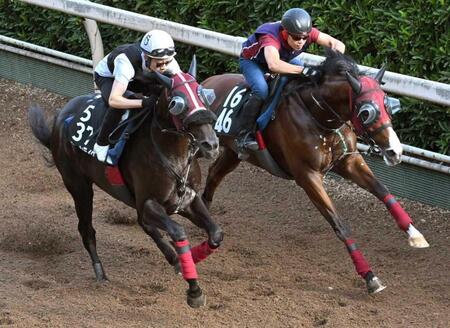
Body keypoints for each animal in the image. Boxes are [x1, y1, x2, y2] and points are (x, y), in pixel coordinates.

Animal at [29, 58, 222, 308]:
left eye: (203, 94)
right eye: (176, 102)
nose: (211, 144)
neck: (171, 154)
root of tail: (61, 118)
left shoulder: (187, 199)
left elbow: (216, 233)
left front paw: (191, 258)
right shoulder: (149, 203)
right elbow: (179, 233)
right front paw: (194, 290)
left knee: (144, 225)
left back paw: (173, 258)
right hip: (79, 187)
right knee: (86, 229)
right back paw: (100, 273)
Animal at [203, 51, 428, 294]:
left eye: (388, 105)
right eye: (366, 112)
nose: (395, 151)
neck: (318, 115)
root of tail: (206, 83)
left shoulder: (348, 161)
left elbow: (383, 191)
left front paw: (415, 234)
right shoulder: (307, 176)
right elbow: (340, 225)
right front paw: (370, 276)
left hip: (233, 154)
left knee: (213, 175)